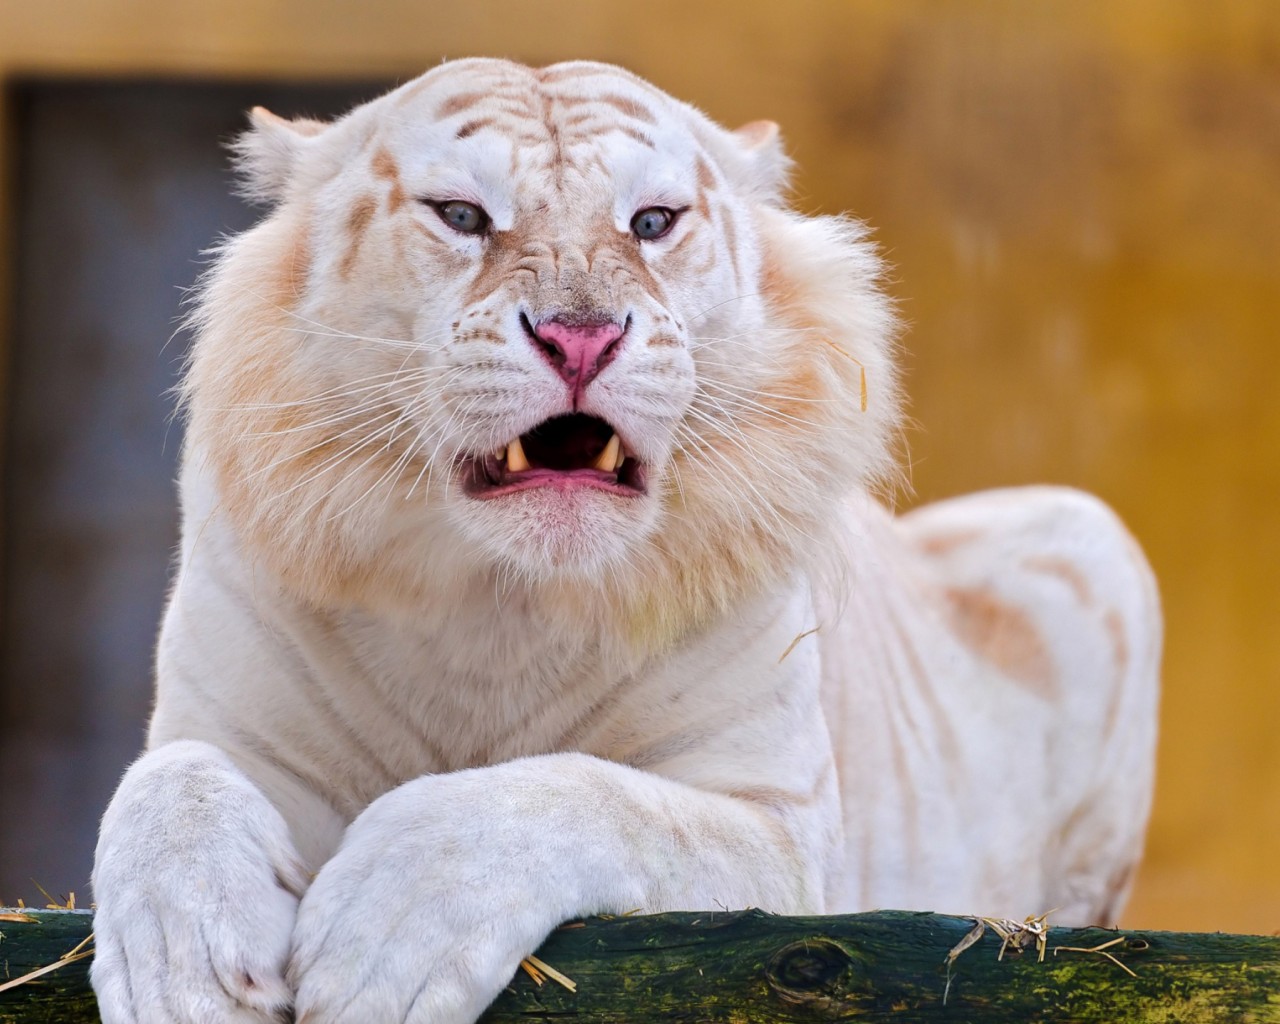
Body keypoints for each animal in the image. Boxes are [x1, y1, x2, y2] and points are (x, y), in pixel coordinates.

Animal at [90, 58, 1161, 1024]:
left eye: (652, 222)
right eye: (461, 215)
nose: (581, 338)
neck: (498, 603)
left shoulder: (786, 835)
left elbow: (588, 798)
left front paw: (380, 945)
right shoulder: (232, 729)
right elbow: (165, 785)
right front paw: (182, 974)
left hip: (1090, 536)